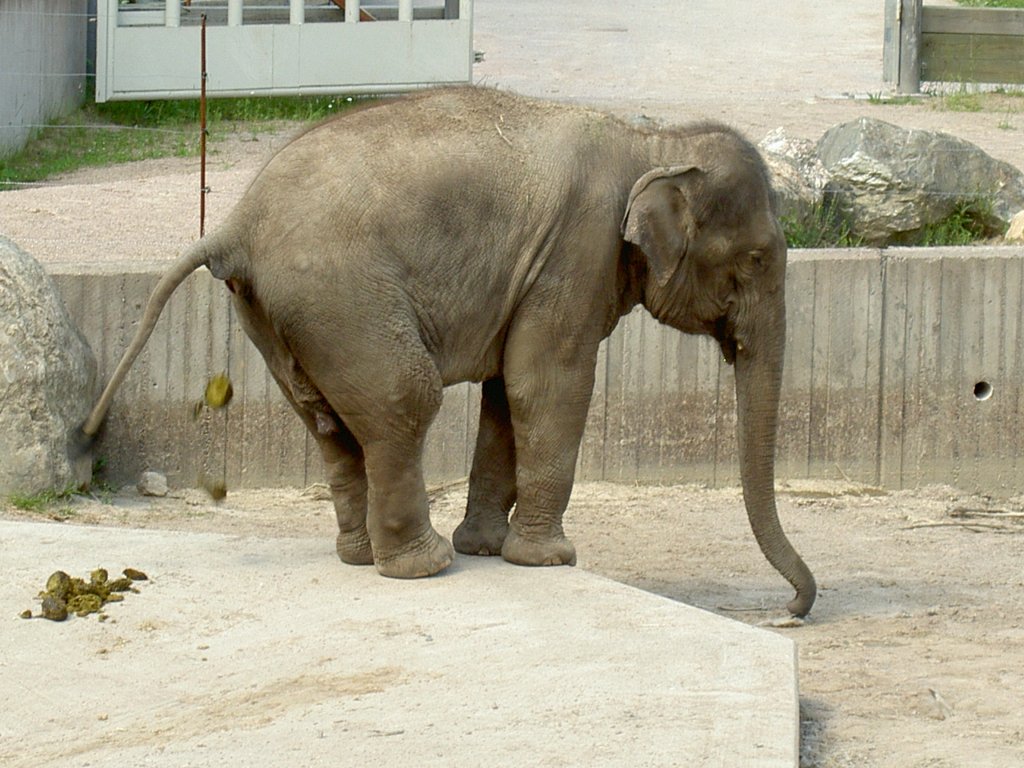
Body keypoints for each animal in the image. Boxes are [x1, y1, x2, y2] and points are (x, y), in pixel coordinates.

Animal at [77, 87, 815, 618]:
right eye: (756, 259)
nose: (791, 608)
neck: (654, 142)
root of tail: (235, 223)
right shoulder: (575, 256)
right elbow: (547, 386)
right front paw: (549, 560)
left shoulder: (536, 276)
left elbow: (505, 394)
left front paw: (487, 549)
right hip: (342, 299)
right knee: (406, 397)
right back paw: (422, 565)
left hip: (277, 316)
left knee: (328, 424)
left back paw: (363, 556)